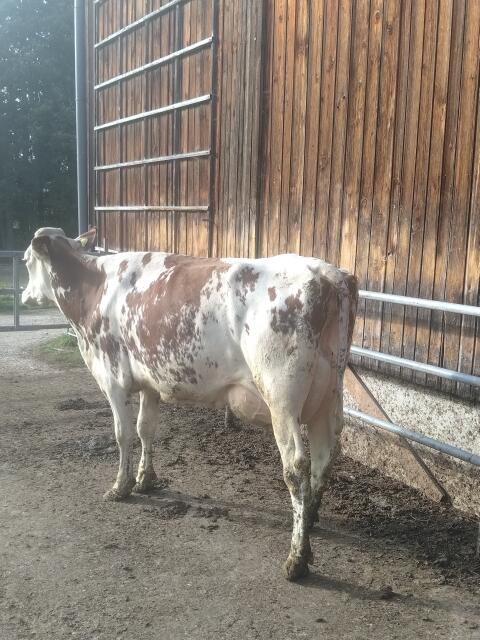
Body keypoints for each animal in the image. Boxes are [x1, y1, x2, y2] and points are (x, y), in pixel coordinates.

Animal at [22, 226, 358, 581]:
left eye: (26, 261)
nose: (24, 296)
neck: (94, 286)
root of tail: (327, 273)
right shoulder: (150, 382)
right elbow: (145, 429)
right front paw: (145, 479)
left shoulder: (113, 379)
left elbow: (122, 435)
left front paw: (120, 486)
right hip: (330, 396)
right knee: (324, 455)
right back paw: (310, 519)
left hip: (281, 398)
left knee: (296, 466)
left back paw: (297, 556)